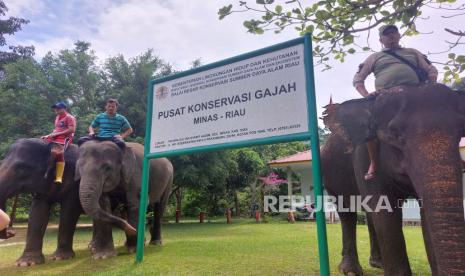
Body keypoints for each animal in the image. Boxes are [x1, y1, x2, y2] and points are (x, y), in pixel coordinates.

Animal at [320, 83, 464, 274]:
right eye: (395, 134)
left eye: (461, 132)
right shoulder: (364, 158)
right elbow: (384, 210)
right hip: (330, 173)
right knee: (347, 212)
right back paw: (350, 270)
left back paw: (378, 263)